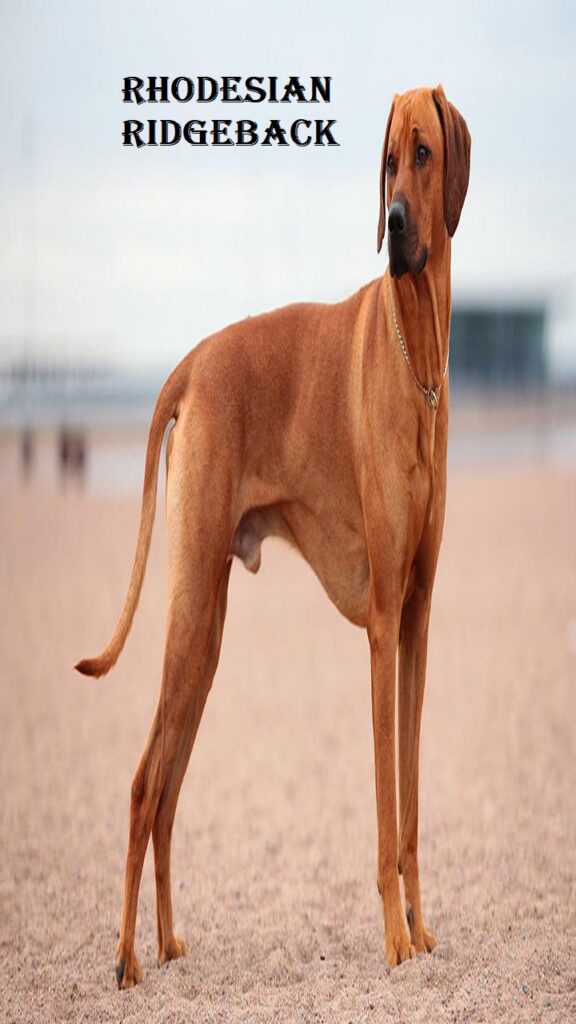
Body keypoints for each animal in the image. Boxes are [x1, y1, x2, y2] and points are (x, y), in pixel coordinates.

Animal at [75, 86, 471, 983]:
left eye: (423, 153)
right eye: (385, 163)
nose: (397, 221)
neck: (418, 354)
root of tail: (190, 362)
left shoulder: (419, 625)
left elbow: (412, 806)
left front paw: (422, 929)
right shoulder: (383, 629)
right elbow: (385, 809)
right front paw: (395, 941)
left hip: (208, 636)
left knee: (169, 794)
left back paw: (168, 943)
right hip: (191, 612)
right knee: (144, 788)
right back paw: (126, 958)